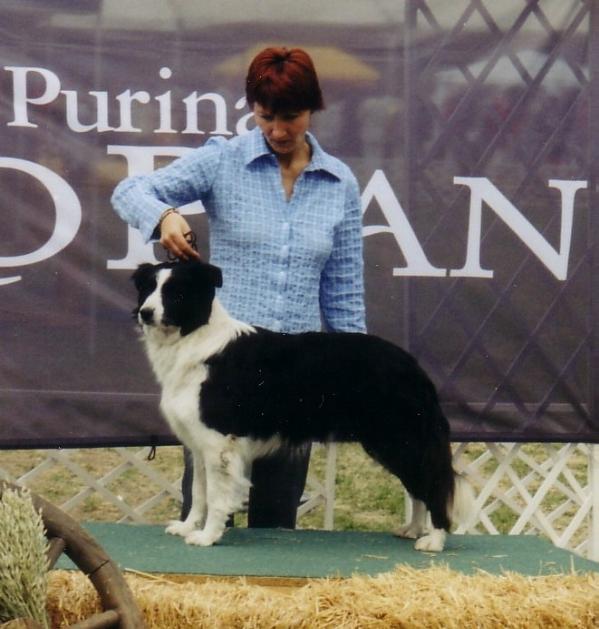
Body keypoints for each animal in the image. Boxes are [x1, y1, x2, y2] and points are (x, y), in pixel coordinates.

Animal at [131, 260, 474, 548]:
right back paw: (413, 529)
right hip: (393, 441)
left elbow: (216, 495)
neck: (194, 339)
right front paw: (188, 527)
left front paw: (207, 536)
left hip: (400, 438)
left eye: (176, 293)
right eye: (148, 289)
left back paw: (434, 540)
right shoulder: (198, 444)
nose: (144, 312)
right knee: (417, 487)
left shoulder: (219, 443)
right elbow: (198, 492)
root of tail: (413, 366)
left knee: (433, 484)